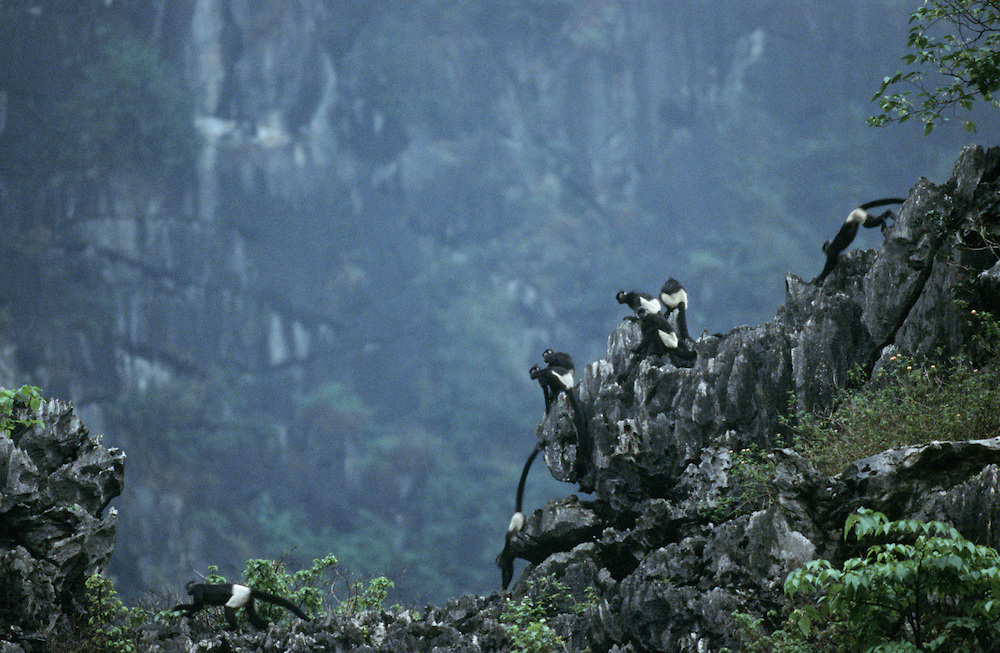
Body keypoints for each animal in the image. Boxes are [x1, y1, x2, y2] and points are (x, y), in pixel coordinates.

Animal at [173, 582, 308, 630]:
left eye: (189, 589)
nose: (187, 591)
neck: (197, 585)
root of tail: (249, 590)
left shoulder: (199, 592)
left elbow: (198, 606)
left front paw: (182, 612)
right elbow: (198, 607)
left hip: (238, 598)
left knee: (228, 609)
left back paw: (232, 628)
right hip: (248, 600)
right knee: (253, 616)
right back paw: (265, 626)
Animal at [496, 444, 542, 589]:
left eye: (499, 563)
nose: (498, 566)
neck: (503, 552)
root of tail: (517, 513)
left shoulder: (508, 557)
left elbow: (509, 572)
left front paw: (504, 587)